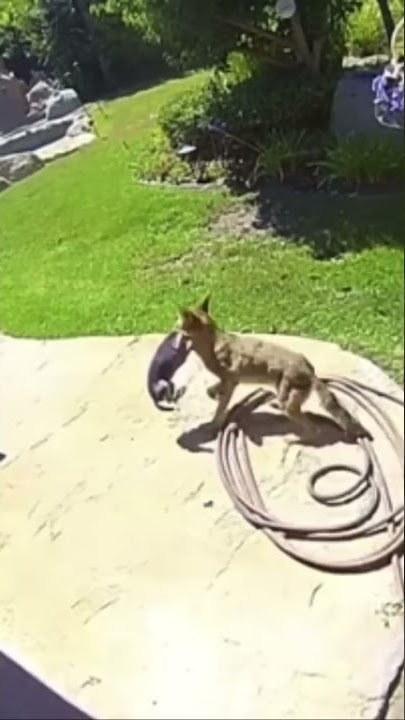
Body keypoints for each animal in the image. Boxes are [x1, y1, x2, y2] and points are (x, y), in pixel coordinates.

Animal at [176, 296, 370, 440]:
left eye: (178, 324)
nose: (173, 327)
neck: (212, 343)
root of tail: (309, 369)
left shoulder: (231, 381)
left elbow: (220, 408)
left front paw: (214, 425)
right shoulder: (231, 381)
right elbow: (212, 390)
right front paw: (213, 395)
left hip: (288, 402)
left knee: (313, 429)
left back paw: (294, 439)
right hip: (285, 392)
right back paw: (277, 405)